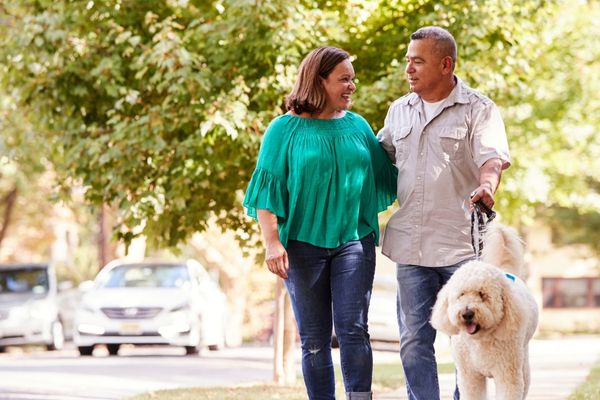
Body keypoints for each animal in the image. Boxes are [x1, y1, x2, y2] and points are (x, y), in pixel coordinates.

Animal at [432, 225, 540, 400]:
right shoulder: (470, 376)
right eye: (461, 295)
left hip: (522, 362)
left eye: (483, 295)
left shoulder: (507, 375)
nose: (467, 314)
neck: (480, 340)